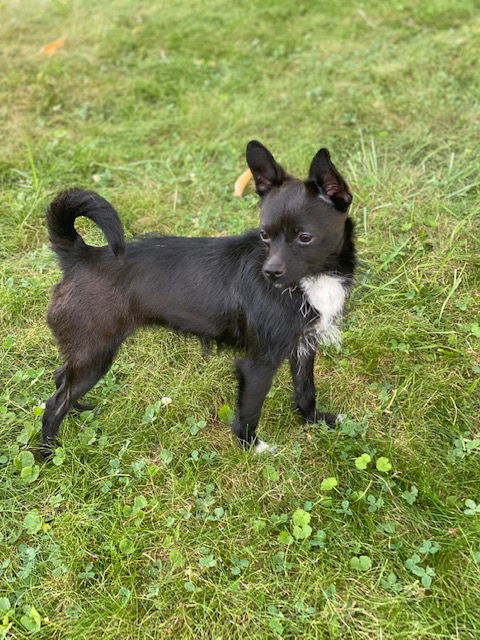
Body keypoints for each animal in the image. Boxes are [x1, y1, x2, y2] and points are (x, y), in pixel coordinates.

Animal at [41, 142, 354, 458]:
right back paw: (50, 453)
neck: (309, 281)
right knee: (54, 403)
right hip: (95, 354)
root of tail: (81, 256)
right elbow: (249, 411)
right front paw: (251, 447)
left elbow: (306, 391)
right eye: (265, 235)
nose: (269, 272)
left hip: (87, 355)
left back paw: (79, 412)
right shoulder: (258, 364)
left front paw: (317, 422)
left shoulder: (303, 346)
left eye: (305, 237)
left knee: (60, 378)